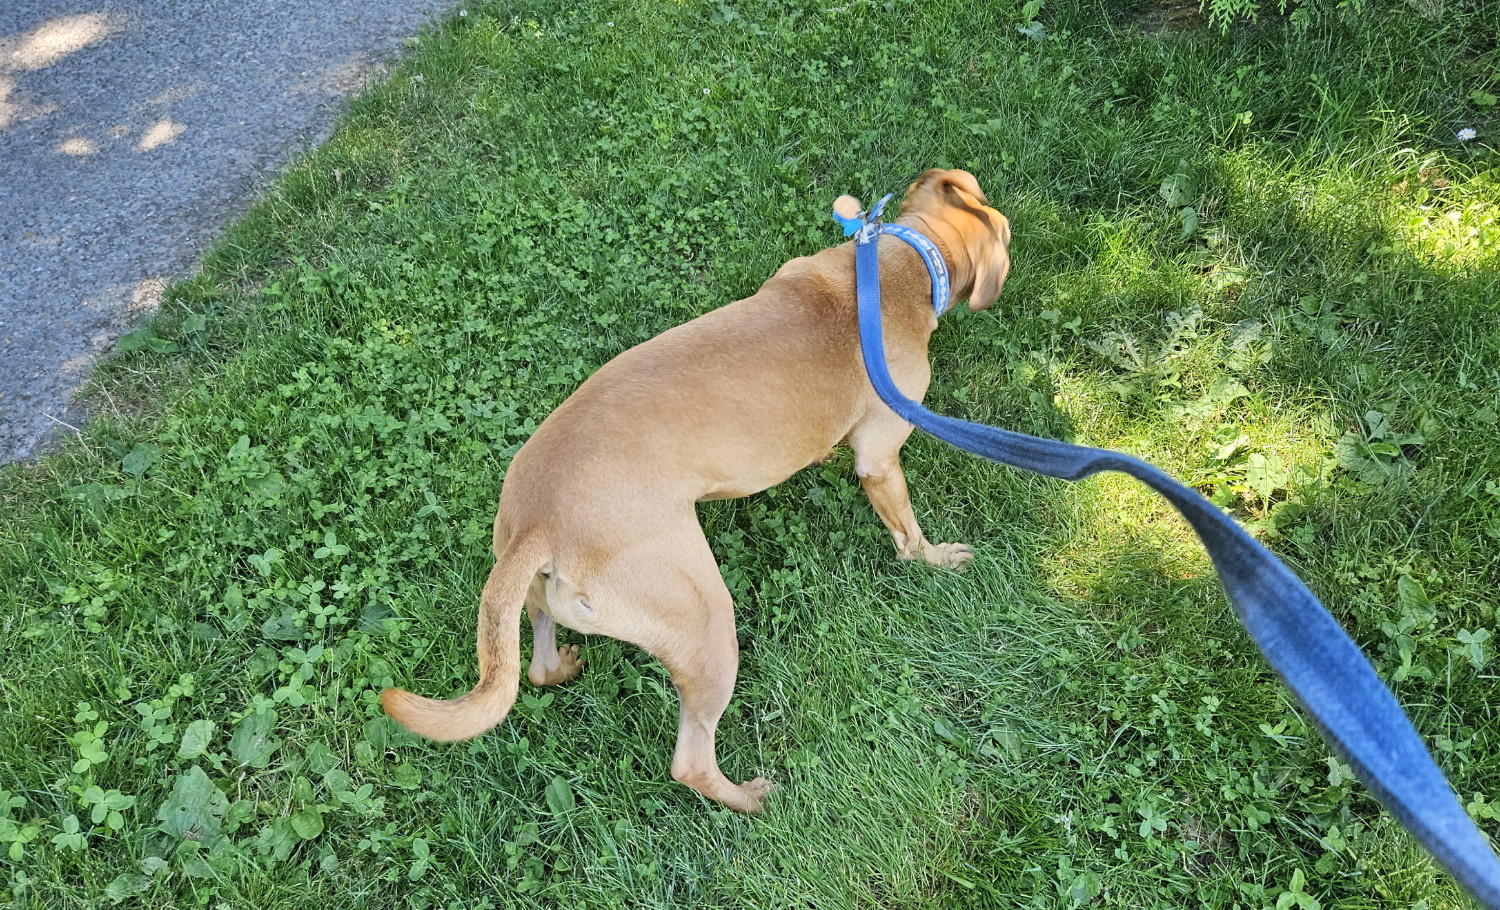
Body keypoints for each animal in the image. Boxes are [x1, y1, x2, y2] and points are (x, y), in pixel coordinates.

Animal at [381, 169, 1014, 809]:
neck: (898, 263)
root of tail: (539, 524)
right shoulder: (881, 459)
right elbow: (907, 533)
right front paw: (937, 559)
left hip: (534, 596)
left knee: (532, 664)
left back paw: (561, 668)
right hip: (706, 623)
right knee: (690, 761)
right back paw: (752, 798)